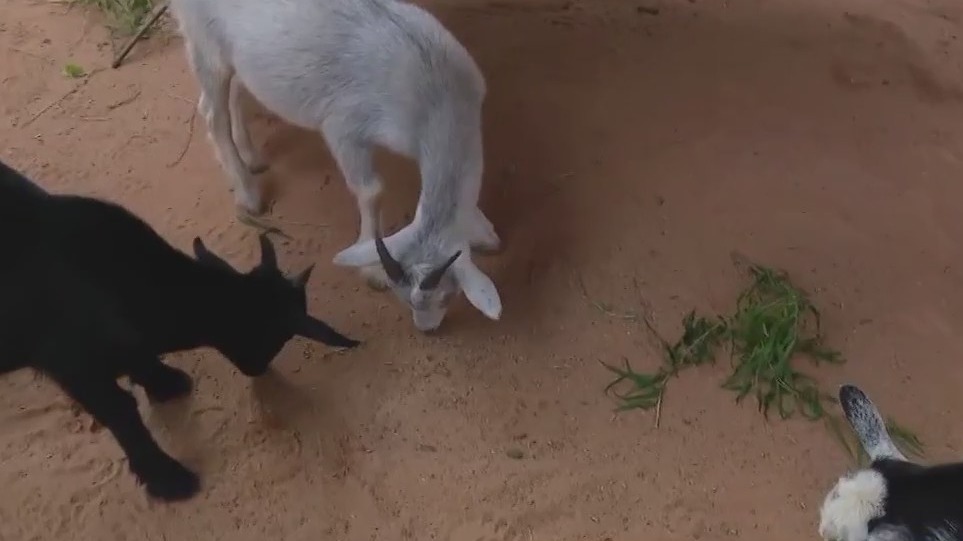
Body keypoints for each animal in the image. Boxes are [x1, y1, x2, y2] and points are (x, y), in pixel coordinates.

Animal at [0, 158, 359, 502]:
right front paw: (167, 479)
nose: (258, 369)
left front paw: (166, 383)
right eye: (278, 337)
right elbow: (121, 412)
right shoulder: (73, 365)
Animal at [167, 0, 503, 332]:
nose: (427, 330)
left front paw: (482, 230)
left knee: (236, 89)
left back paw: (251, 157)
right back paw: (247, 192)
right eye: (402, 297)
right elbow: (371, 191)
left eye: (447, 296)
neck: (436, 89)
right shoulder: (343, 127)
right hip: (204, 44)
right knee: (212, 112)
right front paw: (372, 269)